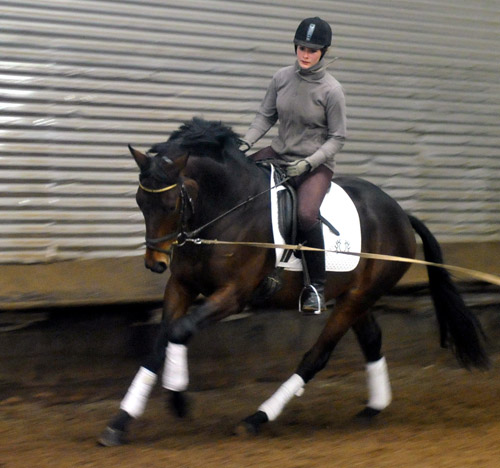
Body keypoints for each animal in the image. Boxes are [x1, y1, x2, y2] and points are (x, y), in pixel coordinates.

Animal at [97, 117, 488, 446]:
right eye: (140, 201)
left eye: (170, 204)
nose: (155, 263)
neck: (223, 209)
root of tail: (400, 214)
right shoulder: (181, 286)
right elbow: (159, 341)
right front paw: (119, 423)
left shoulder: (234, 294)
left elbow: (180, 331)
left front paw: (178, 400)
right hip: (354, 295)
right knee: (372, 340)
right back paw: (372, 408)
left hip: (357, 297)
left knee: (316, 357)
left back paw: (256, 419)